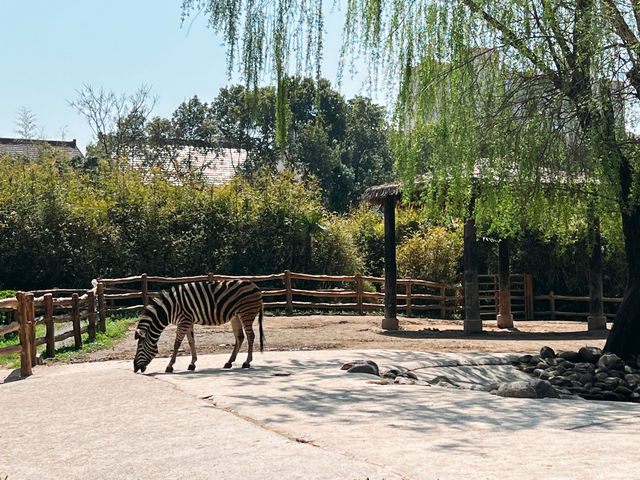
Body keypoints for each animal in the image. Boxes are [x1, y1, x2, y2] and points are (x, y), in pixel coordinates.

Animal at [134, 280, 264, 374]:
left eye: (140, 347)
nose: (134, 368)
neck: (169, 309)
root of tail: (255, 286)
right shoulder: (188, 322)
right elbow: (191, 342)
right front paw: (192, 364)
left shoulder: (184, 321)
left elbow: (177, 344)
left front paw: (170, 366)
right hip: (236, 316)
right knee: (240, 337)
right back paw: (229, 362)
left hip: (247, 313)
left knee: (251, 336)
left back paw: (247, 362)